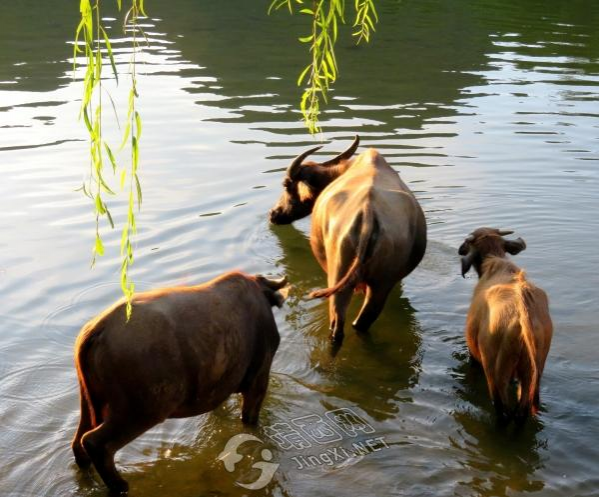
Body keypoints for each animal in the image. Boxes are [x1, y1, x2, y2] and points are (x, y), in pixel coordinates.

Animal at [71, 272, 290, 492]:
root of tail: (95, 331)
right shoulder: (258, 380)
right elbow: (250, 422)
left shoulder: (216, 390)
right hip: (139, 412)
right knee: (95, 443)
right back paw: (121, 485)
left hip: (89, 403)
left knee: (78, 444)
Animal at [270, 135, 428, 340]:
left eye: (286, 185)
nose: (273, 213)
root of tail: (368, 211)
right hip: (381, 285)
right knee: (362, 321)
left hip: (337, 274)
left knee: (337, 323)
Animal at [462, 228, 556, 418]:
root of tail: (523, 317)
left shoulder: (473, 356)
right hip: (533, 370)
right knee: (522, 410)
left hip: (495, 371)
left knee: (502, 409)